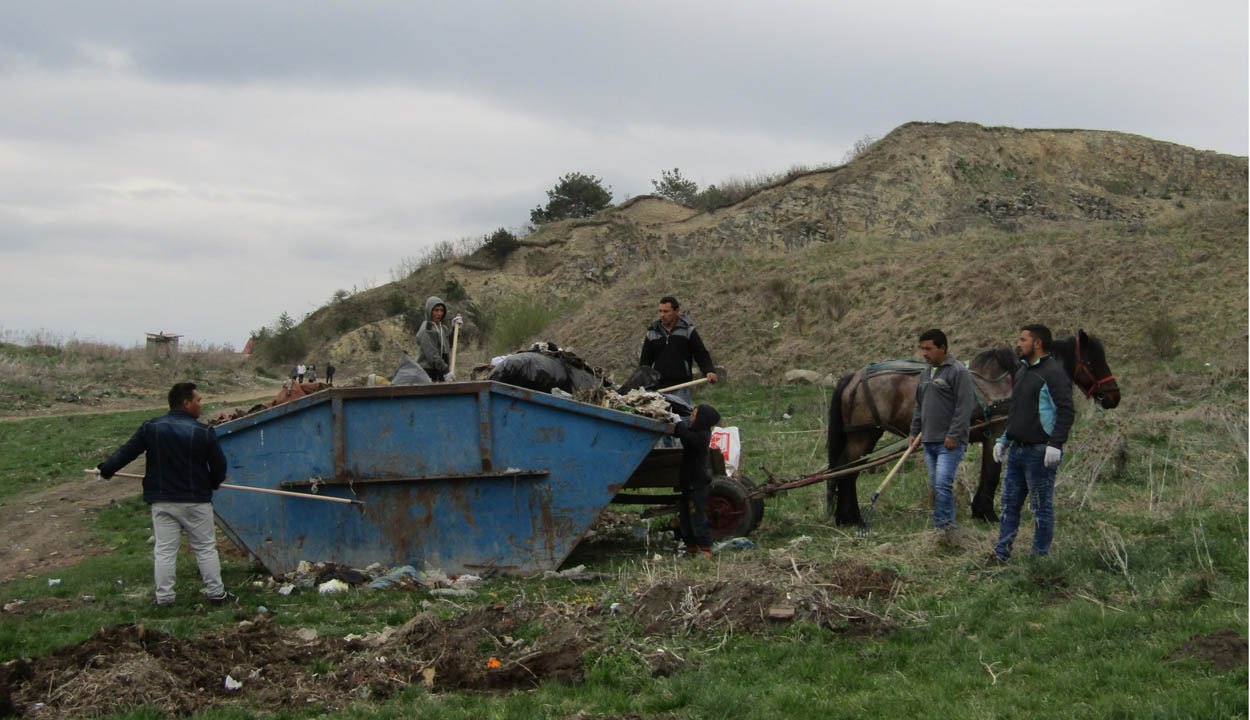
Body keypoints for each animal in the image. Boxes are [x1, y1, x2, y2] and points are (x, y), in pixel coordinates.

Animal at [825, 330, 1120, 525]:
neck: (1009, 381)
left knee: (843, 469)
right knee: (847, 471)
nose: (1114, 396)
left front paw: (980, 510)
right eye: (1093, 361)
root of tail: (854, 377)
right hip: (864, 435)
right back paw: (850, 517)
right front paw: (986, 512)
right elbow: (991, 473)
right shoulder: (996, 434)